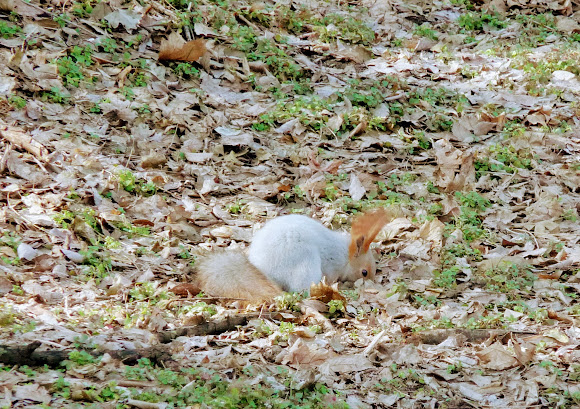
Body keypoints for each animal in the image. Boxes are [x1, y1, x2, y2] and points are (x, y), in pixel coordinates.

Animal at [197, 209, 392, 302]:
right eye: (364, 272)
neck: (345, 256)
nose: (371, 286)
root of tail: (263, 271)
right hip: (305, 265)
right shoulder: (331, 266)